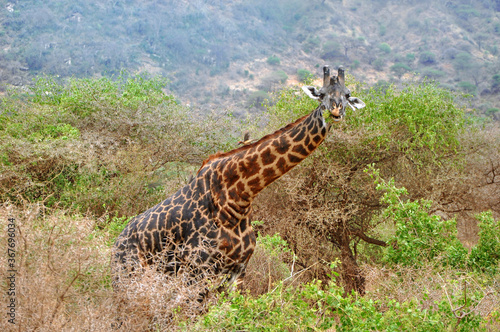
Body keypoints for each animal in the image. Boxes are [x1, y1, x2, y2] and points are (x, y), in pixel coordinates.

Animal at [111, 66, 366, 294]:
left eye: (347, 95)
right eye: (321, 94)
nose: (335, 111)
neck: (240, 195)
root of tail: (115, 244)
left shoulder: (236, 271)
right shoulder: (197, 267)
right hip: (130, 274)